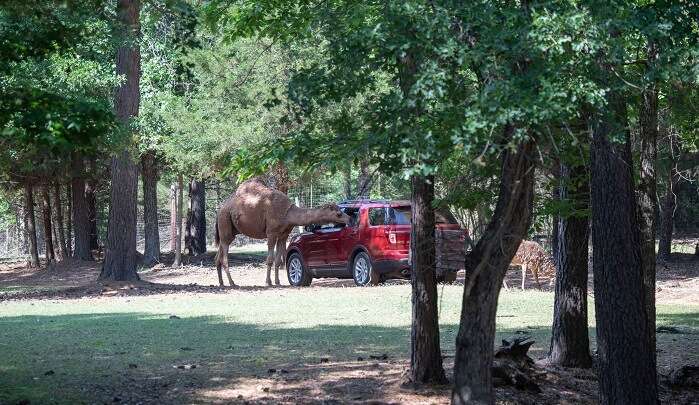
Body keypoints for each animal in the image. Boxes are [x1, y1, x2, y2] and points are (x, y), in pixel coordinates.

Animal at [213, 178, 350, 288]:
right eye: (338, 214)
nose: (349, 218)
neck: (288, 214)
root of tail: (220, 210)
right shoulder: (271, 233)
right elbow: (270, 259)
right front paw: (268, 282)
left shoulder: (283, 235)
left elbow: (278, 260)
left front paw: (278, 282)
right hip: (225, 222)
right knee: (224, 257)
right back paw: (232, 283)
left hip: (230, 231)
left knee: (218, 256)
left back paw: (221, 283)